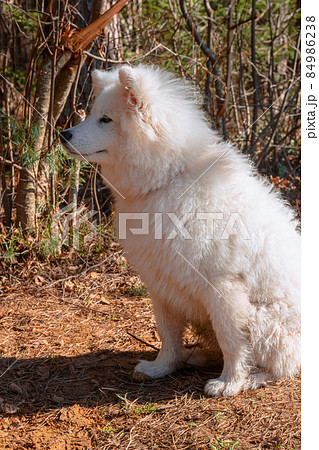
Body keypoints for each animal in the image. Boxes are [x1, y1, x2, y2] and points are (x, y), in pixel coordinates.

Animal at [60, 65, 302, 396]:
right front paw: (160, 368)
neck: (167, 178)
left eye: (105, 119)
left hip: (266, 321)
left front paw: (229, 382)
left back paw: (254, 377)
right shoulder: (161, 284)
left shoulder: (223, 289)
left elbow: (232, 340)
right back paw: (197, 356)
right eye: (93, 115)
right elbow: (168, 335)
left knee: (285, 366)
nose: (63, 135)